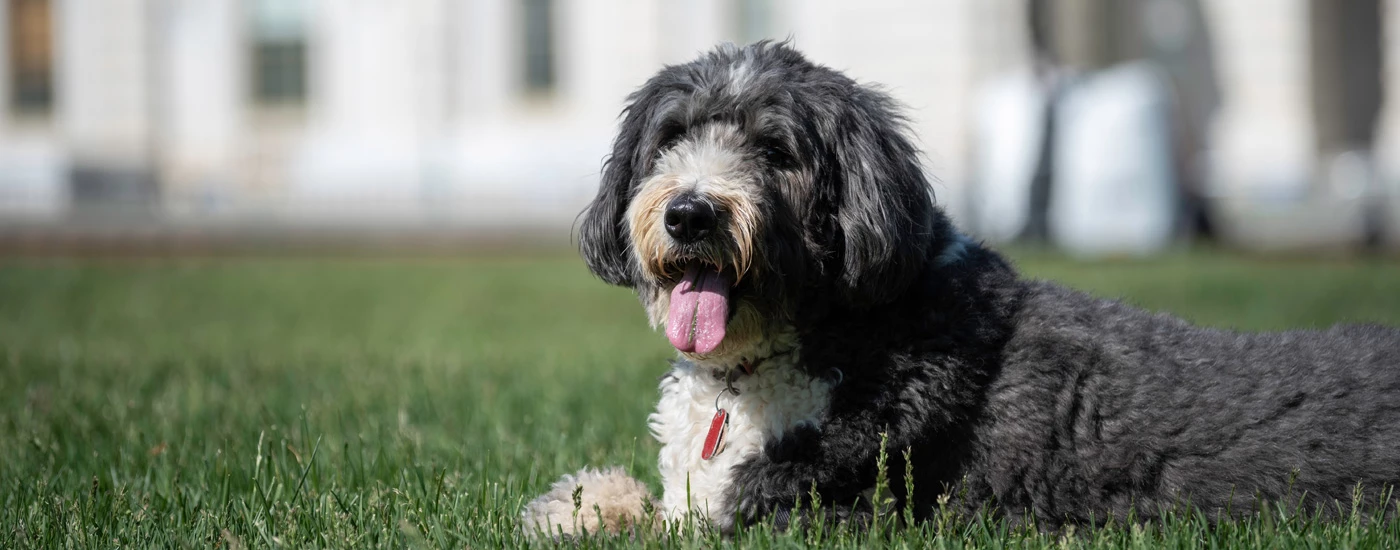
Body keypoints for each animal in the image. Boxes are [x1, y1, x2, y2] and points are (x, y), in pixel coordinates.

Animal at [520, 42, 1400, 534]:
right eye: (671, 137)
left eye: (775, 150)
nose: (690, 212)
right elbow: (643, 502)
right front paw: (578, 504)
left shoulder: (825, 511)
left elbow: (685, 525)